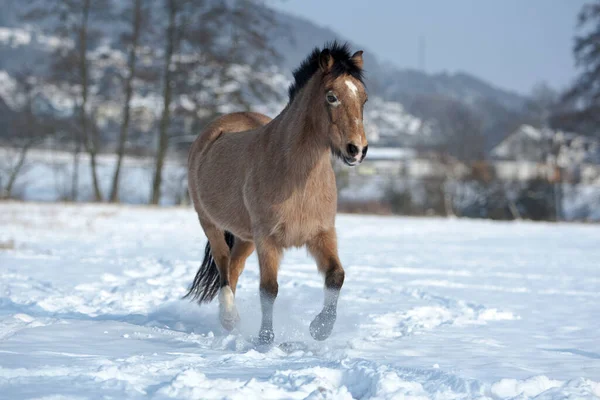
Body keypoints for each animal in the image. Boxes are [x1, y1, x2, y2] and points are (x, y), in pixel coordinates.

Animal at [185, 42, 368, 346]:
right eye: (331, 97)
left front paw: (320, 329)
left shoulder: (321, 234)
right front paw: (265, 339)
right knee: (223, 266)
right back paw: (229, 319)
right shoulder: (268, 240)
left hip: (245, 237)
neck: (297, 180)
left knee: (234, 268)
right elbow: (269, 289)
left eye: (363, 98)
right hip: (211, 223)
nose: (357, 149)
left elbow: (336, 276)